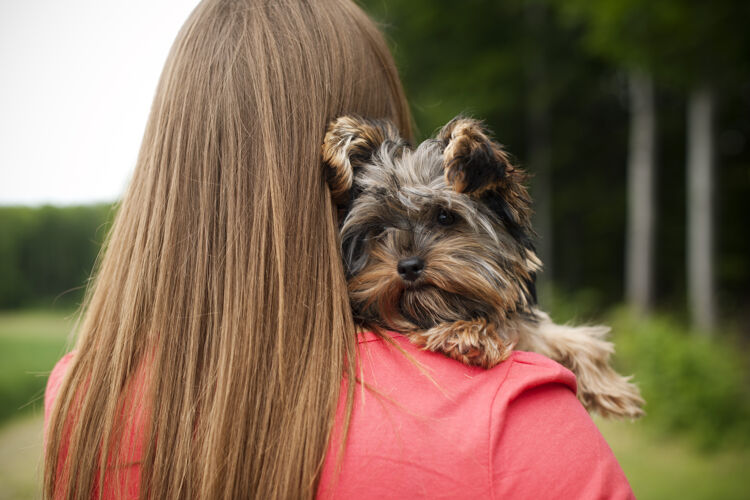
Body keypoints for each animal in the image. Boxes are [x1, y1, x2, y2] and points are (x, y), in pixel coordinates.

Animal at [324, 114, 648, 418]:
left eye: (445, 216)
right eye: (378, 229)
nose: (408, 266)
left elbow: (572, 340)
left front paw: (610, 387)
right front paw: (468, 334)